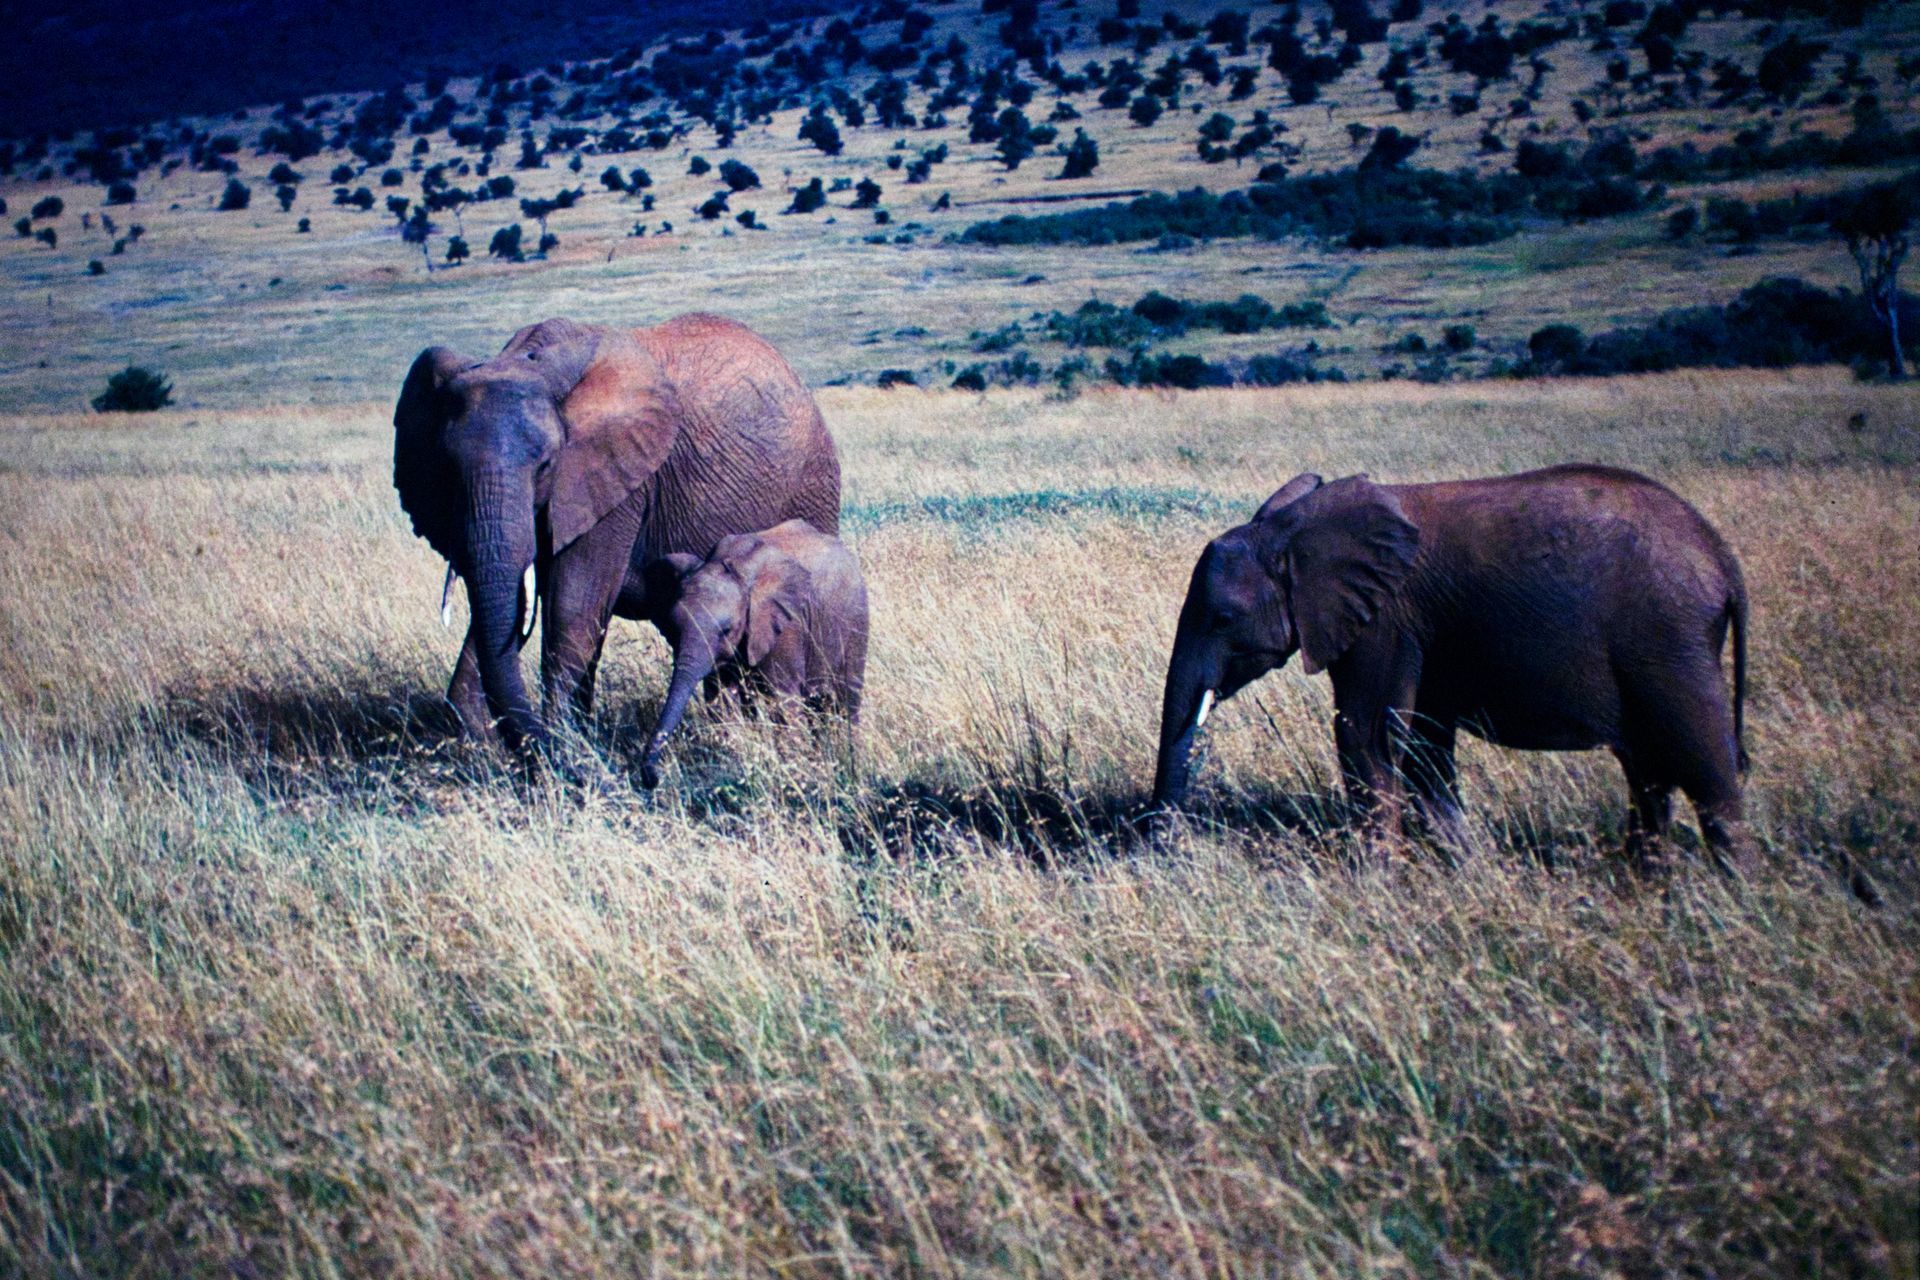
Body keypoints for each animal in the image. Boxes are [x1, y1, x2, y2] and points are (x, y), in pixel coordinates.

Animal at [393, 313, 841, 754]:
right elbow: (511, 608)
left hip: (812, 491)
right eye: (447, 470)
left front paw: (564, 750)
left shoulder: (617, 482)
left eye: (546, 465)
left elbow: (572, 610)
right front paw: (488, 749)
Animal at [636, 519, 868, 789]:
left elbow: (783, 703)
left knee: (846, 700)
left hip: (856, 621)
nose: (653, 779)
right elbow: (723, 701)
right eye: (672, 629)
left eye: (726, 630)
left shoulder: (787, 626)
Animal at [1151, 464, 1752, 873]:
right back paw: (1645, 882)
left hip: (1668, 641)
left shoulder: (1384, 620)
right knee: (1648, 775)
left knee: (1705, 768)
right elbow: (1423, 749)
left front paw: (1374, 880)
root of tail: (1723, 558)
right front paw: (1471, 871)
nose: (1159, 852)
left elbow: (1366, 736)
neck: (1288, 532)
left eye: (1224, 618)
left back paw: (1731, 896)